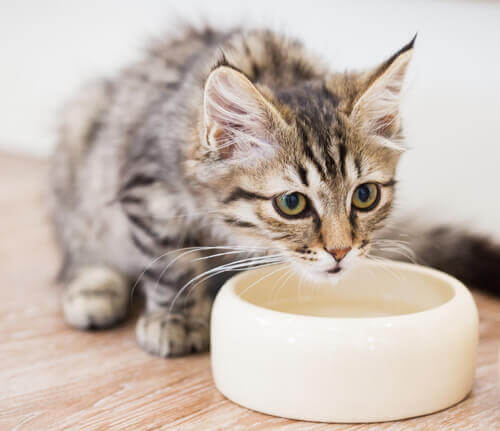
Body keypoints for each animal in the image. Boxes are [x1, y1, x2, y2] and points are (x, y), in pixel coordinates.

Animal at [48, 25, 498, 360]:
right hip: (78, 138)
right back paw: (93, 291)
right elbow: (172, 264)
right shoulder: (148, 193)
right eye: (292, 203)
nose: (341, 251)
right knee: (77, 253)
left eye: (365, 196)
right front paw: (176, 320)